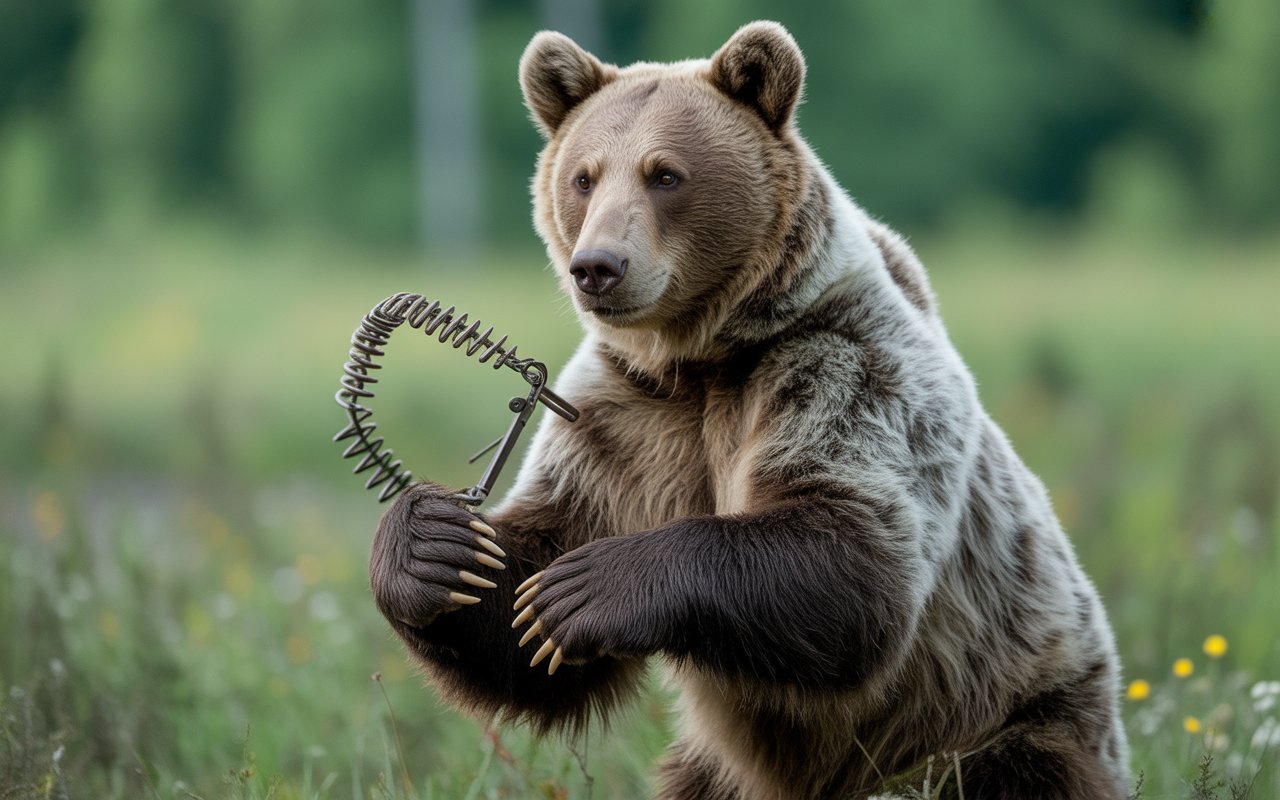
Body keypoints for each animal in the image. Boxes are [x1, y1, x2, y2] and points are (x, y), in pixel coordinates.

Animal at [368, 21, 1131, 800]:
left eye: (665, 174)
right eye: (584, 176)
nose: (597, 267)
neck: (699, 357)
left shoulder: (840, 370)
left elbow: (855, 554)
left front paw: (582, 590)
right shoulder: (622, 419)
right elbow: (526, 608)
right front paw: (437, 546)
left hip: (1002, 714)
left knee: (1017, 767)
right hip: (716, 770)